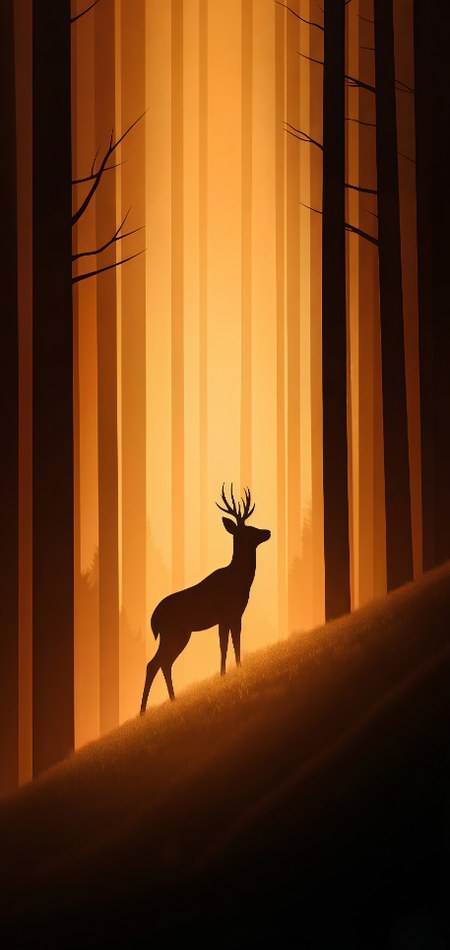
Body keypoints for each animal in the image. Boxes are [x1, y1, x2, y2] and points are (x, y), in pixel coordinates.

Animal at [140, 485, 270, 713]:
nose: (268, 532)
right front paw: (238, 669)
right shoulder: (233, 612)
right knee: (157, 662)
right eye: (249, 530)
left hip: (174, 634)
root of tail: (154, 619)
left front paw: (224, 674)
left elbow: (223, 645)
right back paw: (147, 708)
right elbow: (235, 642)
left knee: (162, 662)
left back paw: (166, 701)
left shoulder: (223, 619)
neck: (241, 580)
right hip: (176, 632)